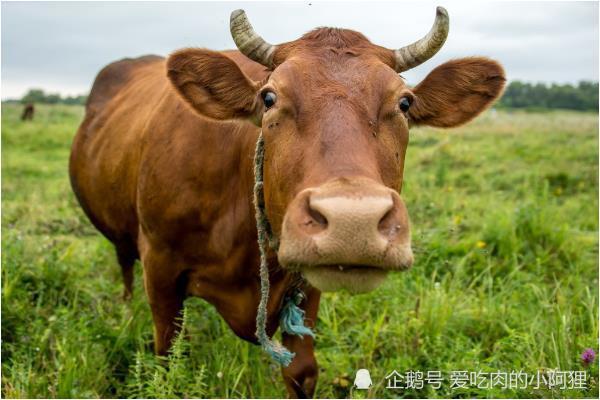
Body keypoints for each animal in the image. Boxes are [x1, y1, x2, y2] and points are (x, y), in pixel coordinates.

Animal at [68, 8, 504, 396]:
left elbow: (302, 371)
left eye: (405, 103)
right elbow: (168, 361)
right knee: (124, 264)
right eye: (269, 98)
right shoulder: (160, 267)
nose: (354, 222)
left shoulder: (305, 283)